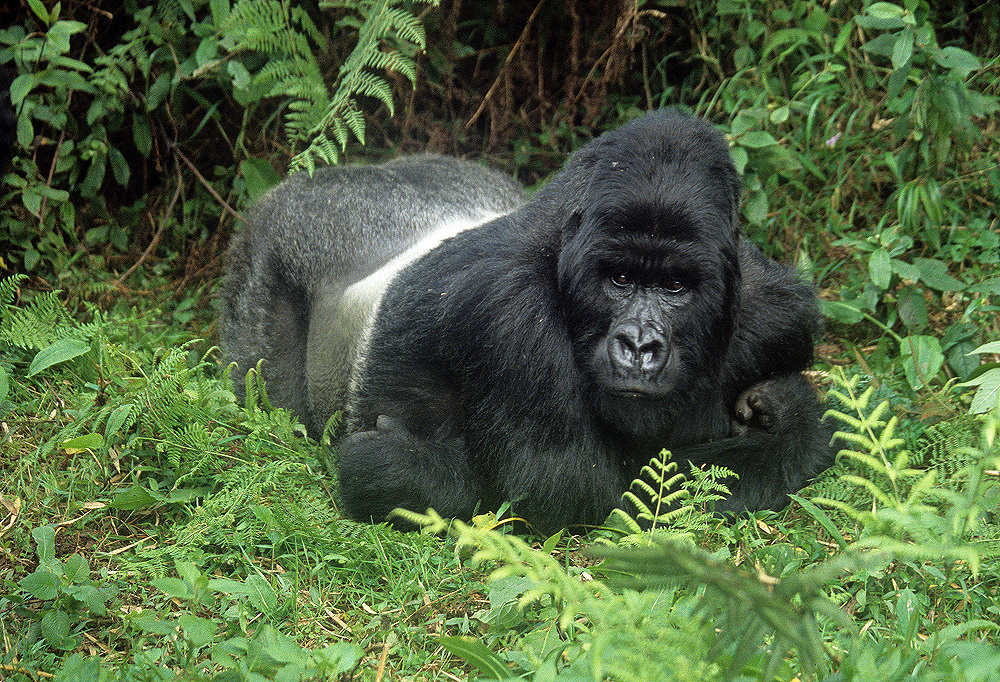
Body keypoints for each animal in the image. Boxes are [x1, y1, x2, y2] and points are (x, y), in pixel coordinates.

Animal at [223, 107, 832, 532]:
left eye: (675, 287)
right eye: (620, 279)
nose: (639, 345)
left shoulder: (772, 308)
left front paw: (787, 415)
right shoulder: (506, 311)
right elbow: (565, 489)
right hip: (279, 239)